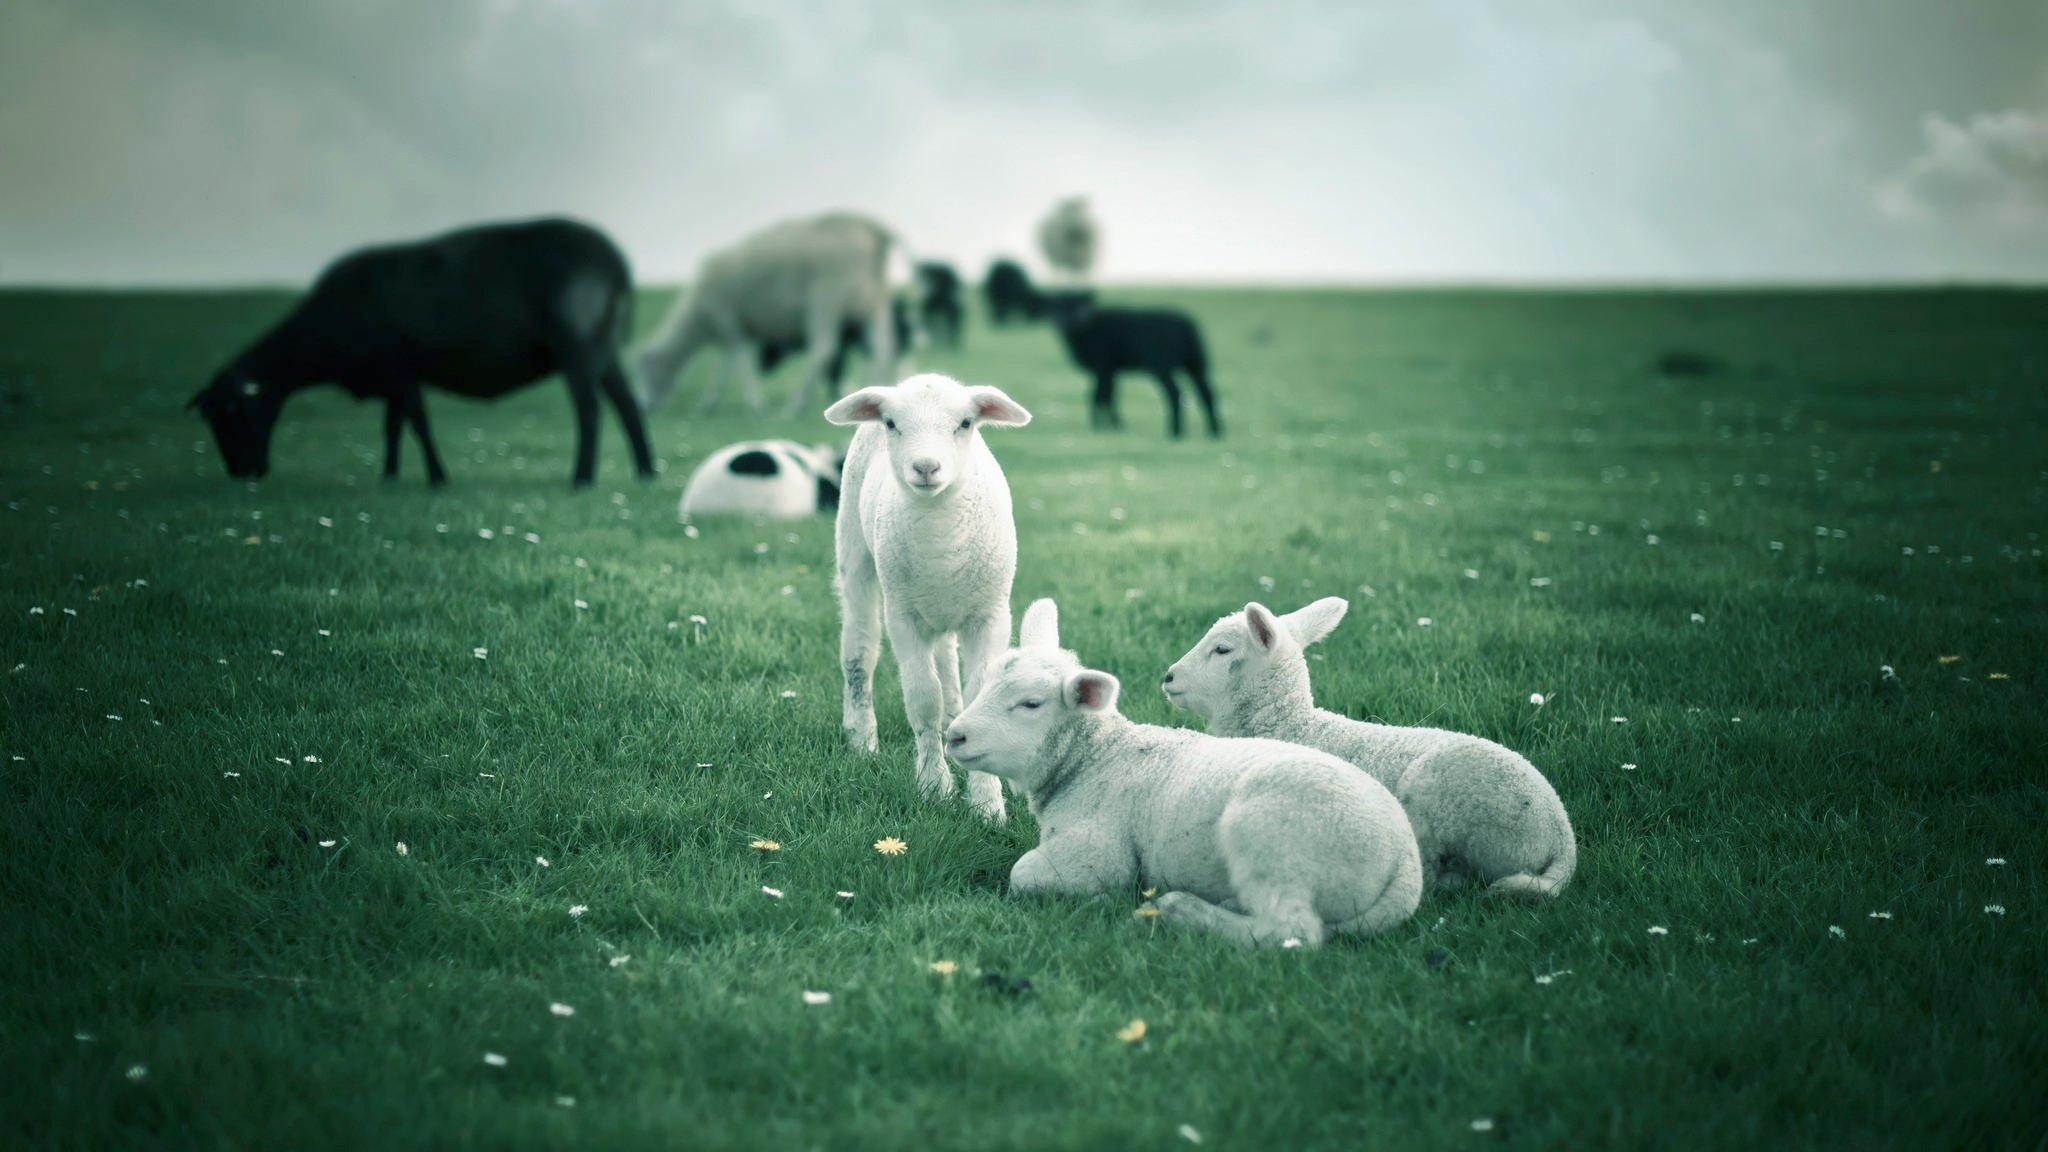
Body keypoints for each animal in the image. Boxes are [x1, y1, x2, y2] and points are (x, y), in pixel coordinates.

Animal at [188, 217, 653, 488]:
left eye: (233, 413)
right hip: (604, 344)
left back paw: (583, 478)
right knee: (627, 405)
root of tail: (616, 261)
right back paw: (646, 471)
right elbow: (392, 426)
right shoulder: (392, 376)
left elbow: (416, 421)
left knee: (590, 409)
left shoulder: (400, 366)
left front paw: (436, 478)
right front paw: (390, 476)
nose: (241, 472)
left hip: (577, 344)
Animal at [634, 212, 905, 418]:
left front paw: (754, 403)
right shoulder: (737, 330)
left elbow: (738, 364)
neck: (697, 317)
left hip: (826, 301)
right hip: (871, 304)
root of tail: (874, 230)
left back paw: (795, 406)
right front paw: (710, 402)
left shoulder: (730, 324)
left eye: (645, 370)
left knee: (824, 349)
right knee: (881, 347)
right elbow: (727, 366)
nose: (643, 407)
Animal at [825, 373, 1033, 822]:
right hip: (857, 558)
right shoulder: (904, 618)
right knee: (859, 652)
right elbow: (922, 700)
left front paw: (986, 804)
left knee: (948, 666)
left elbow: (978, 694)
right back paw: (861, 738)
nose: (926, 467)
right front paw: (935, 787)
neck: (940, 527)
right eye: (891, 424)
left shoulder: (990, 615)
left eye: (966, 423)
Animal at [944, 598, 1422, 949]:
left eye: (1031, 704)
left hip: (1273, 840)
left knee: (1291, 932)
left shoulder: (1097, 850)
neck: (1094, 760)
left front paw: (1102, 899)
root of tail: (1406, 864)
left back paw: (1182, 911)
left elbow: (1022, 874)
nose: (954, 736)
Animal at [1043, 294, 1221, 439]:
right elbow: (1109, 395)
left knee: (1175, 393)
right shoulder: (1111, 370)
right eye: (1059, 304)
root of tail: (1186, 326)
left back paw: (1174, 433)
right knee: (1207, 393)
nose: (1071, 320)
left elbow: (1098, 395)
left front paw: (1100, 428)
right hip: (1196, 362)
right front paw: (1114, 427)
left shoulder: (1103, 365)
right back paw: (1215, 432)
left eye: (1081, 305)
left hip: (1162, 363)